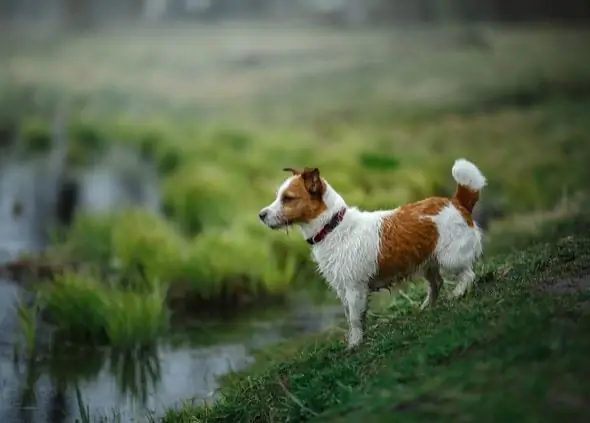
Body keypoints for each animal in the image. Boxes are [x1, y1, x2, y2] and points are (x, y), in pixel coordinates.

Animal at [260, 157, 486, 350]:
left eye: (288, 198)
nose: (261, 215)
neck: (333, 226)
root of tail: (457, 202)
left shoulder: (354, 289)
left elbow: (354, 319)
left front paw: (355, 344)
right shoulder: (343, 290)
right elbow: (352, 317)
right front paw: (356, 339)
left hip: (450, 259)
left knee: (468, 274)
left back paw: (457, 293)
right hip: (427, 263)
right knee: (436, 284)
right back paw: (426, 307)